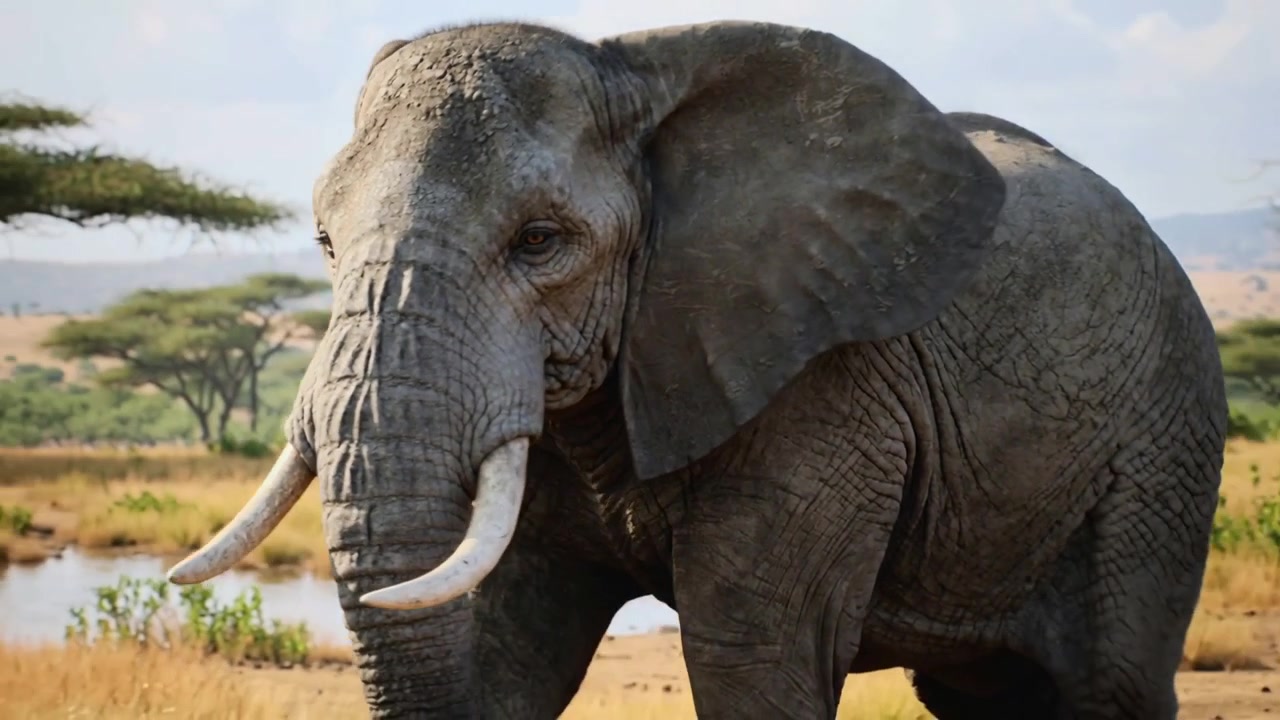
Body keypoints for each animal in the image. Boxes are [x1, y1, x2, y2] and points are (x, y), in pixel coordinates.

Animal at [167, 19, 1227, 720]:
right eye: (324, 243)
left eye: (540, 241)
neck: (635, 71)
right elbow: (511, 653)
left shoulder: (829, 382)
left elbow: (749, 654)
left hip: (1165, 431)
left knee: (1113, 682)